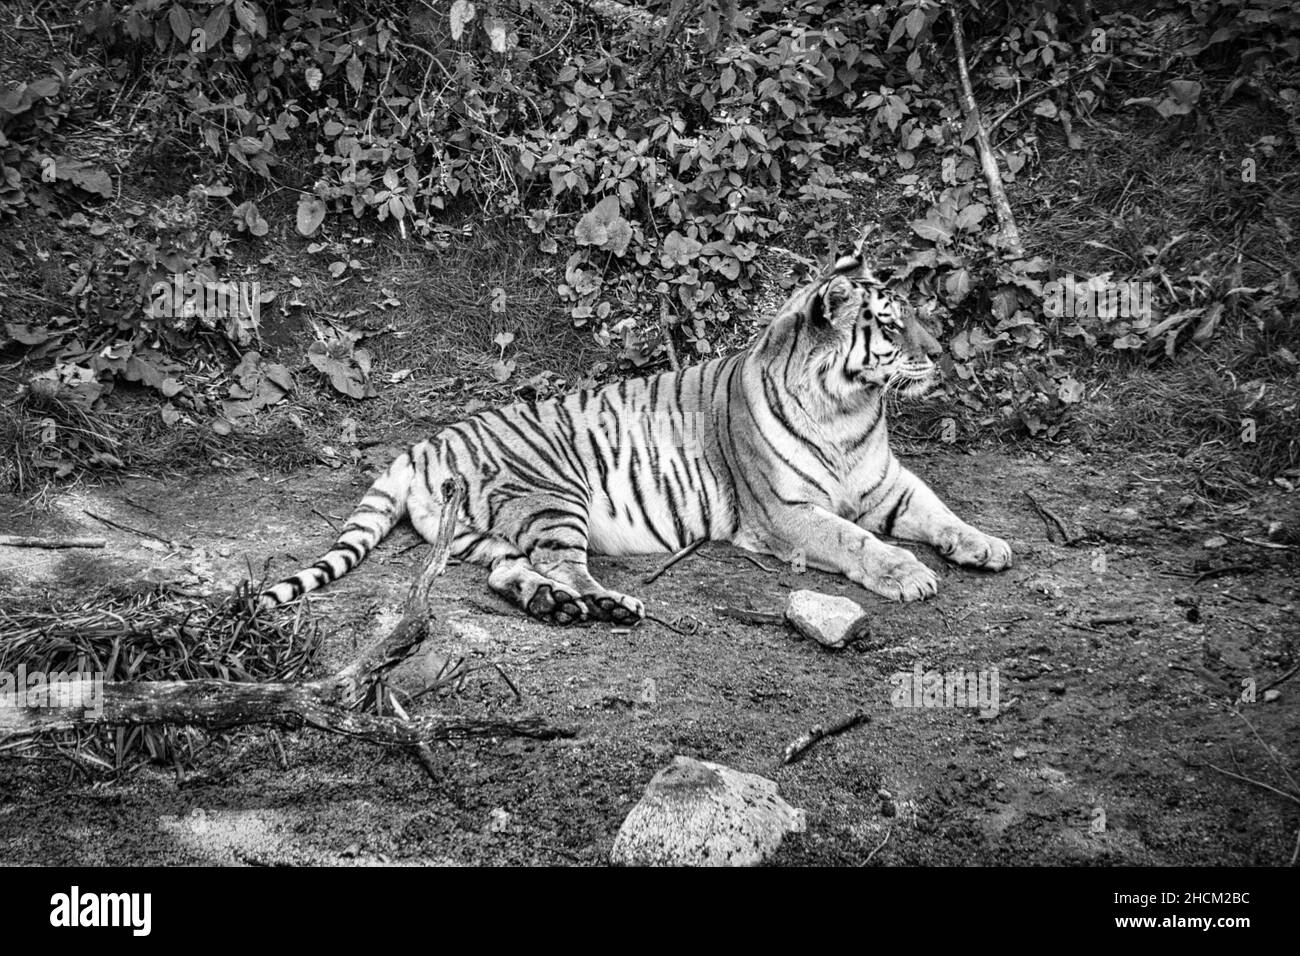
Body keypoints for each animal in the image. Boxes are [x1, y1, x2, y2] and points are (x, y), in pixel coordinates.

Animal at [261, 251, 1013, 624]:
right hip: (551, 496)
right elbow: (857, 540)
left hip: (484, 535)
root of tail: (421, 445)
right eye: (888, 324)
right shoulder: (785, 514)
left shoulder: (887, 483)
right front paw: (909, 575)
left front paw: (986, 545)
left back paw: (551, 604)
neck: (850, 410)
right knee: (565, 564)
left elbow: (940, 511)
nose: (939, 354)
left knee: (511, 572)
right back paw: (608, 604)